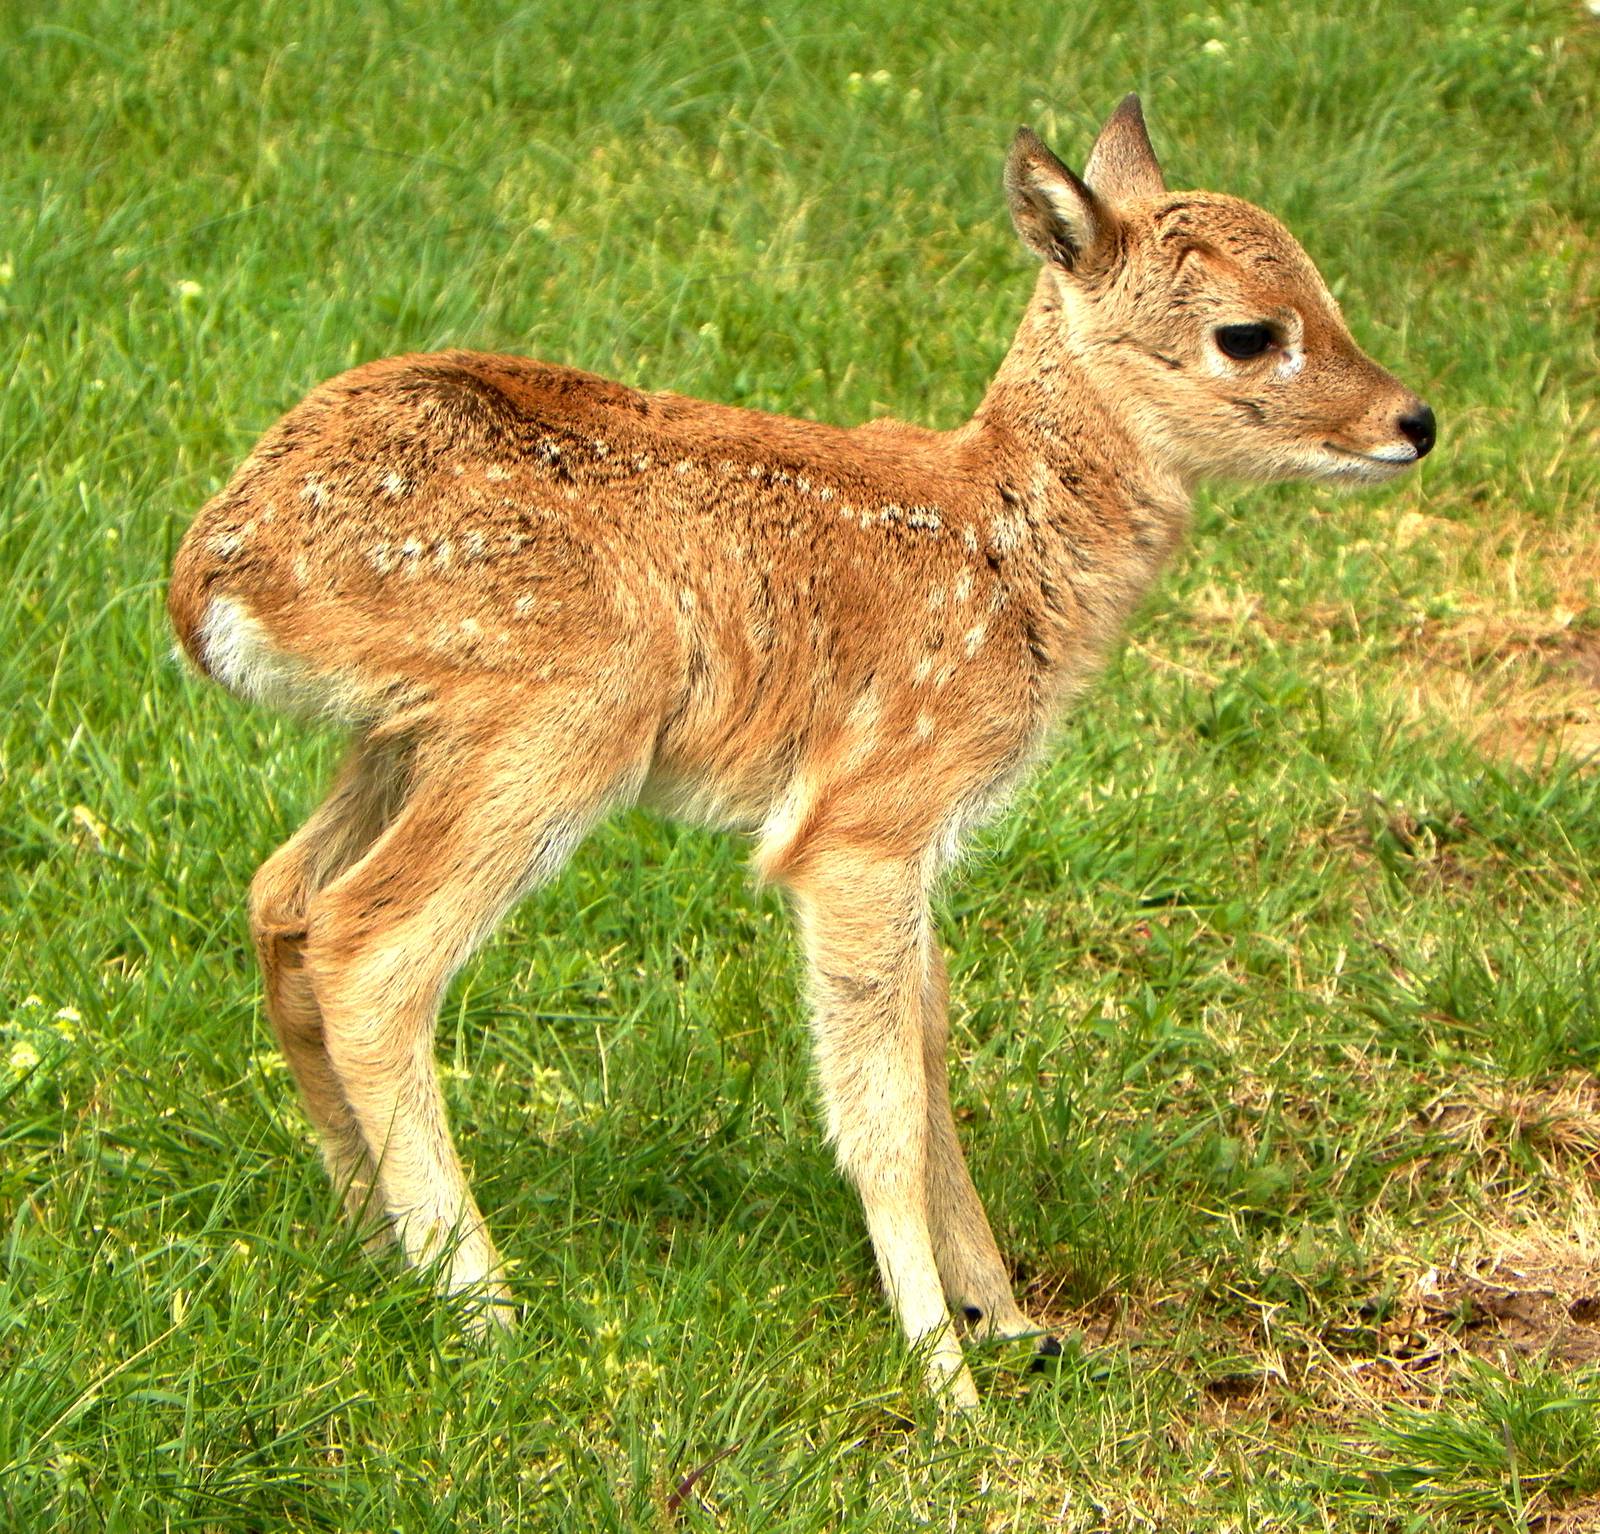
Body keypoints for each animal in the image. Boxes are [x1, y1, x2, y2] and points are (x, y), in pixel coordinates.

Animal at [168, 95, 1435, 1409]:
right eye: (1247, 333)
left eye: (1328, 288)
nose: (1414, 421)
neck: (1008, 551)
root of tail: (212, 570)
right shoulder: (864, 818)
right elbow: (876, 1110)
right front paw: (945, 1375)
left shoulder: (919, 844)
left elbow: (928, 1051)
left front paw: (1009, 1316)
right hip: (567, 705)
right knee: (370, 946)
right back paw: (486, 1311)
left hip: (410, 730)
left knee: (283, 901)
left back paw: (377, 1250)